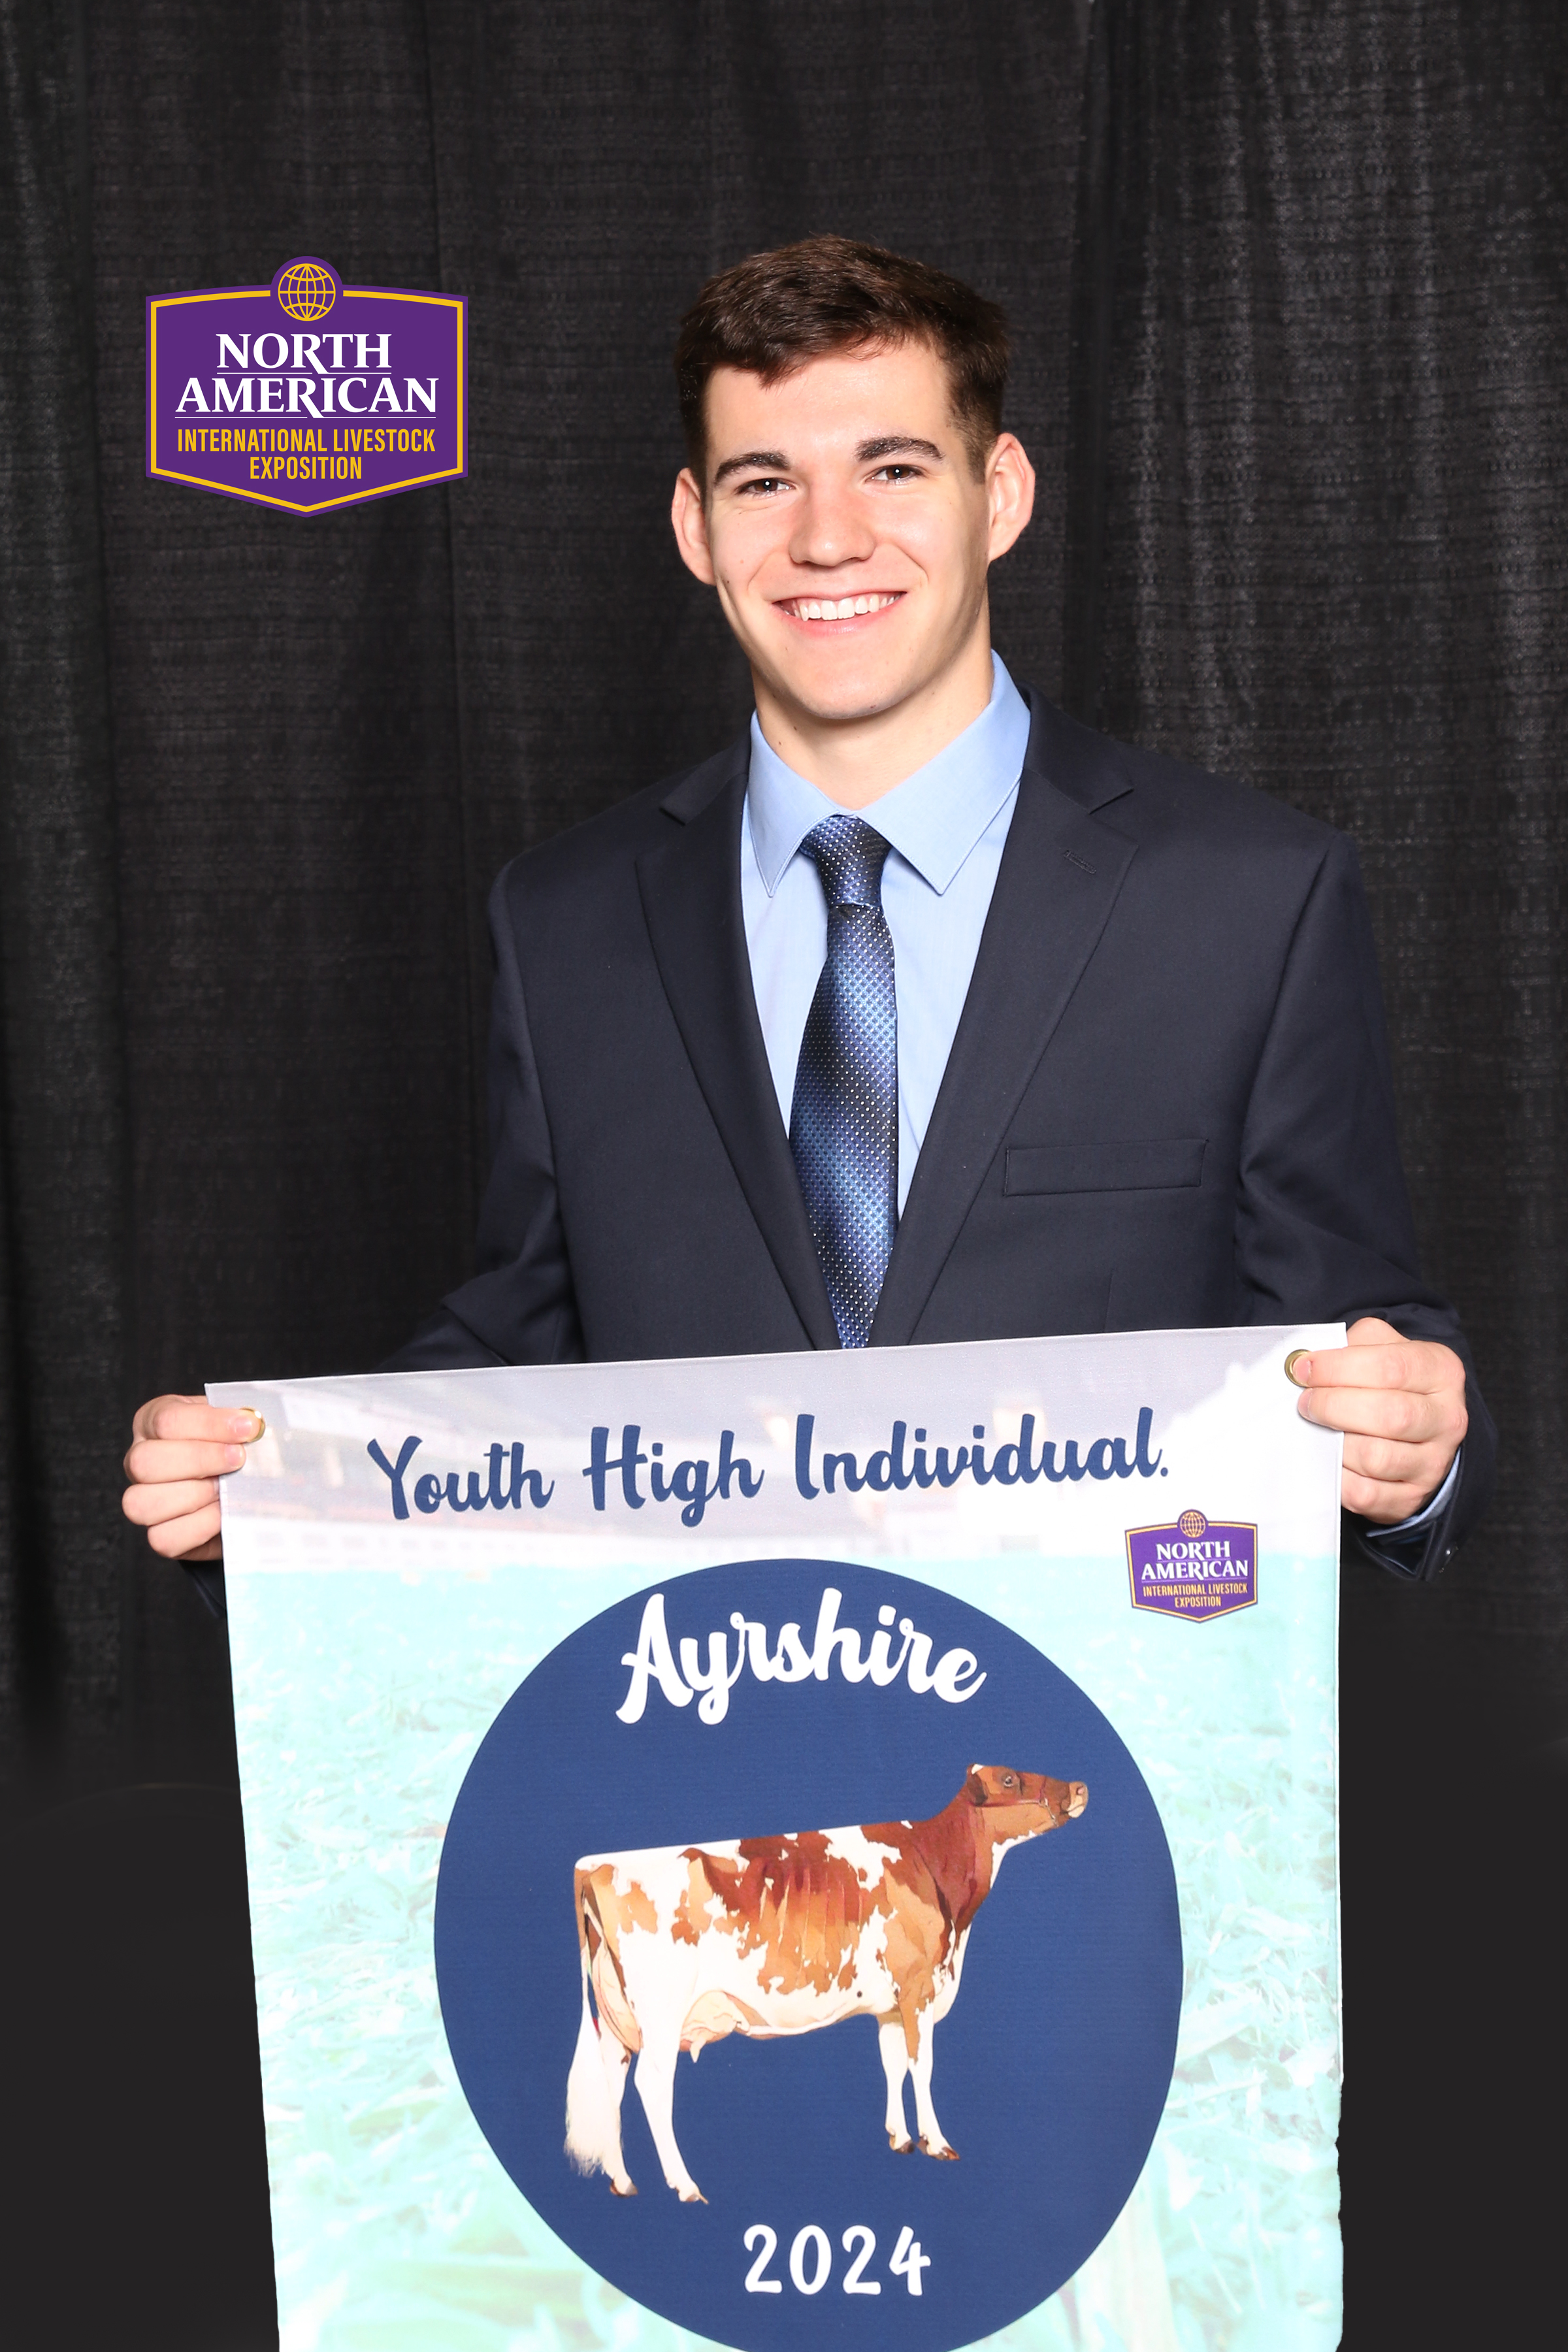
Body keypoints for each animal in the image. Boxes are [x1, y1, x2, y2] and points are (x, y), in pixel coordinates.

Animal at [564, 1769, 1090, 2201]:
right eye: (1010, 1779)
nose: (1080, 1788)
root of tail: (594, 1864)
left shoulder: (891, 2006)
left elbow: (892, 2065)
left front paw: (901, 2138)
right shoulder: (918, 1989)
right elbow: (922, 2067)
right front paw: (936, 2142)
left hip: (615, 2018)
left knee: (612, 2083)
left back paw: (622, 2181)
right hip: (661, 2013)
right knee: (652, 2085)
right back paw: (685, 2186)